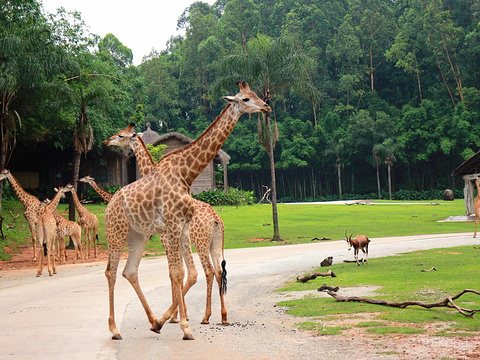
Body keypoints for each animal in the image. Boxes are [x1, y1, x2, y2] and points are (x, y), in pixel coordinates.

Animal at [104, 82, 270, 340]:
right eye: (245, 98)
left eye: (254, 96)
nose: (266, 107)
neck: (185, 174)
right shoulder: (170, 229)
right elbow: (176, 273)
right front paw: (181, 323)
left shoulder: (179, 228)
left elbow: (184, 273)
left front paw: (174, 322)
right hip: (117, 231)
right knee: (111, 271)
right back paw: (115, 329)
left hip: (139, 235)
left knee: (130, 271)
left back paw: (161, 321)